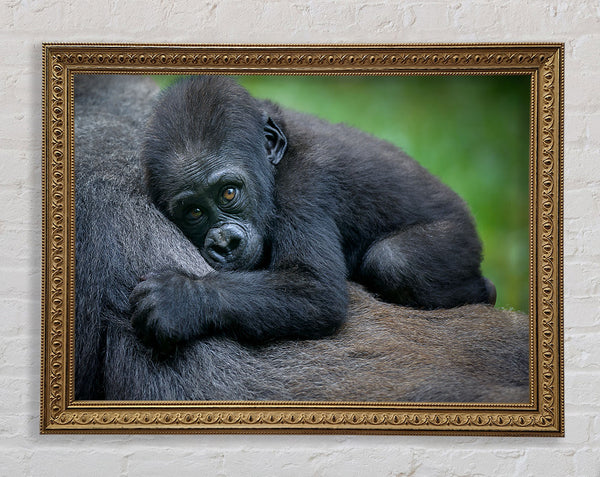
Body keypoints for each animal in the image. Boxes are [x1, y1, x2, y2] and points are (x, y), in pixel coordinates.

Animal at [132, 75, 496, 350]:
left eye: (229, 193)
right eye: (194, 212)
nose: (224, 243)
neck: (275, 160)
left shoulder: (305, 185)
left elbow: (316, 291)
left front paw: (183, 299)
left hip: (460, 239)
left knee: (395, 261)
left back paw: (486, 293)